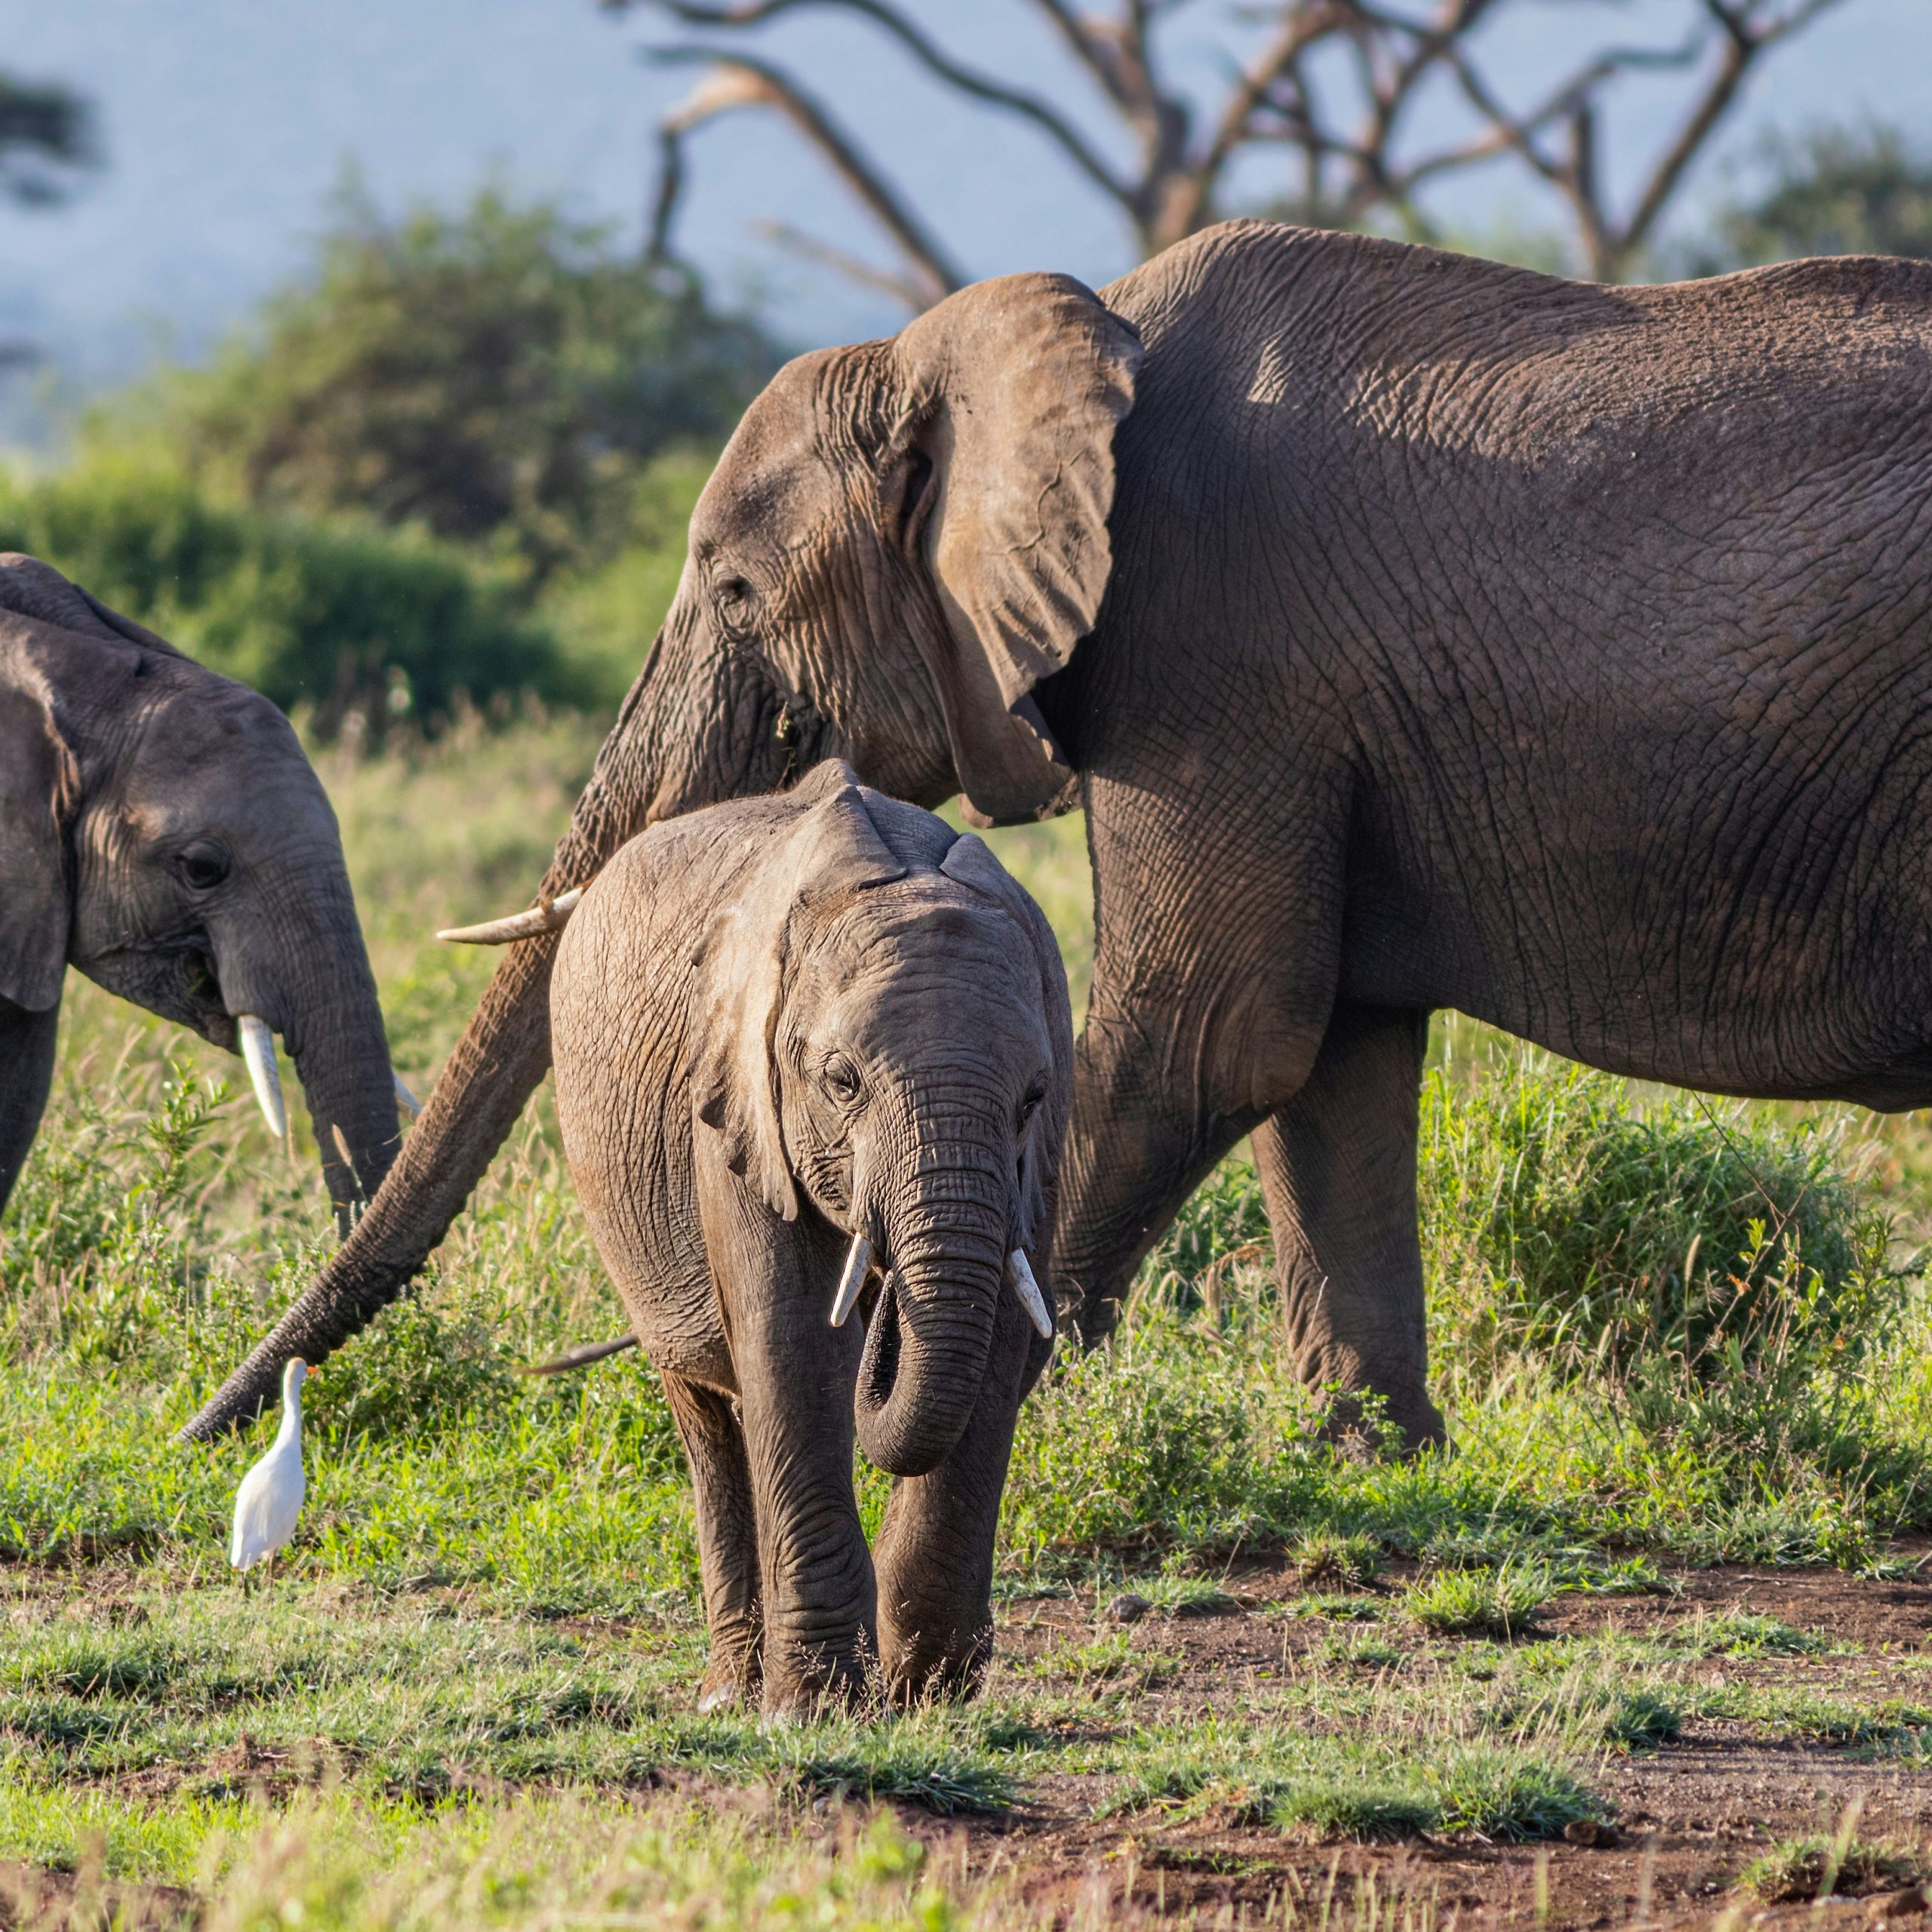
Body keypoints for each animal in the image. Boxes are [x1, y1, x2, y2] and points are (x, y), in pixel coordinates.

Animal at [188, 222, 1932, 1453]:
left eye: (737, 591)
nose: (207, 1426)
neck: (1023, 343)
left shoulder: (1218, 646)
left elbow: (1202, 1034)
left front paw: (1002, 1409)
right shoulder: (1317, 713)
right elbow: (1330, 1060)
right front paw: (1368, 1459)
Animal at [549, 761, 1074, 1715]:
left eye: (1032, 1095)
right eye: (842, 1081)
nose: (886, 1309)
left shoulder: (1041, 1153)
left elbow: (1002, 1336)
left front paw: (928, 1689)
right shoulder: (734, 1101)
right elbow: (790, 1341)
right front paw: (816, 1707)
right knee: (707, 1413)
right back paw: (731, 1692)